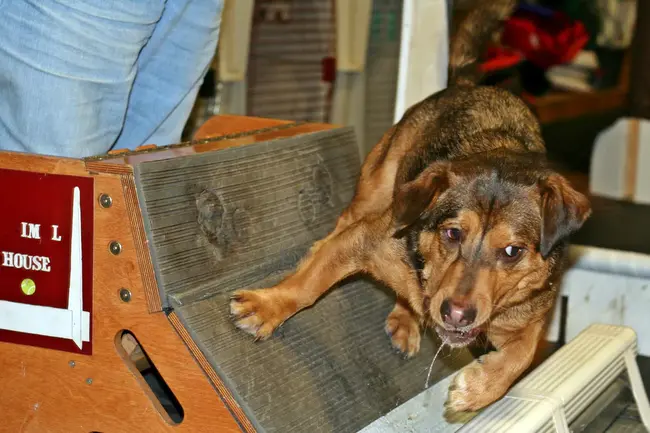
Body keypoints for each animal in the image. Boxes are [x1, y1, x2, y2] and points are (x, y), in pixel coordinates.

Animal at [228, 0, 588, 412]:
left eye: (512, 251)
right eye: (452, 233)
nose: (456, 313)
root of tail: (470, 86)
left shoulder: (528, 317)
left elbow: (523, 354)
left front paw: (480, 388)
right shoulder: (364, 239)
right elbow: (308, 285)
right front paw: (268, 306)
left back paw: (407, 318)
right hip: (379, 185)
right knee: (342, 225)